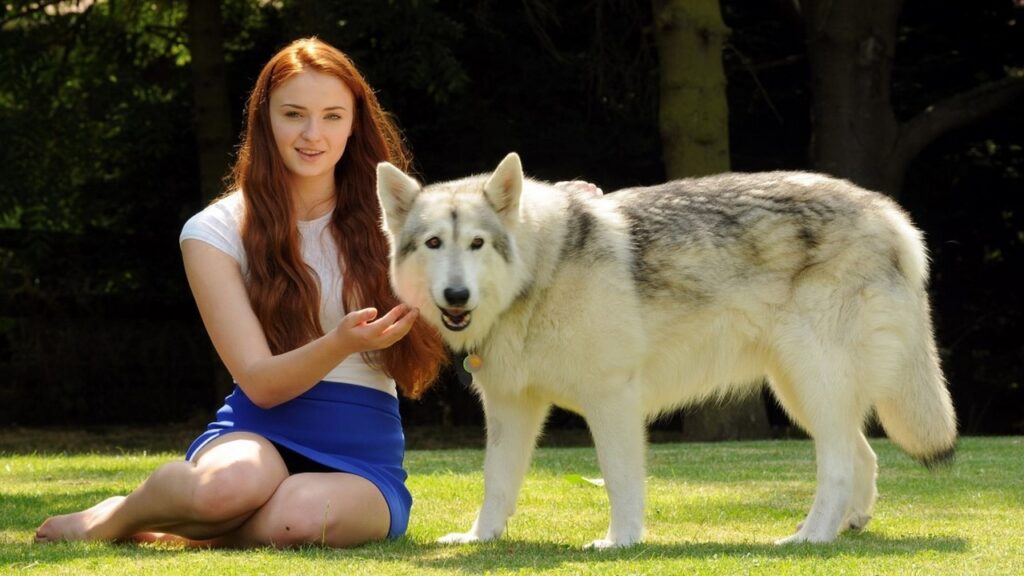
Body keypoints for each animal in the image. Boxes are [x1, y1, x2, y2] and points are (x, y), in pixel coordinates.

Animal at [375, 153, 957, 548]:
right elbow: (496, 483)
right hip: (802, 394)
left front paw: (621, 542)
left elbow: (619, 480)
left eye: (476, 243)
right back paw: (845, 527)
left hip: (812, 386)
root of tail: (889, 214)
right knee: (865, 455)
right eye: (434, 244)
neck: (540, 273)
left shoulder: (612, 400)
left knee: (837, 467)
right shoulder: (510, 408)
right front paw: (480, 538)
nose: (456, 296)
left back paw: (809, 538)